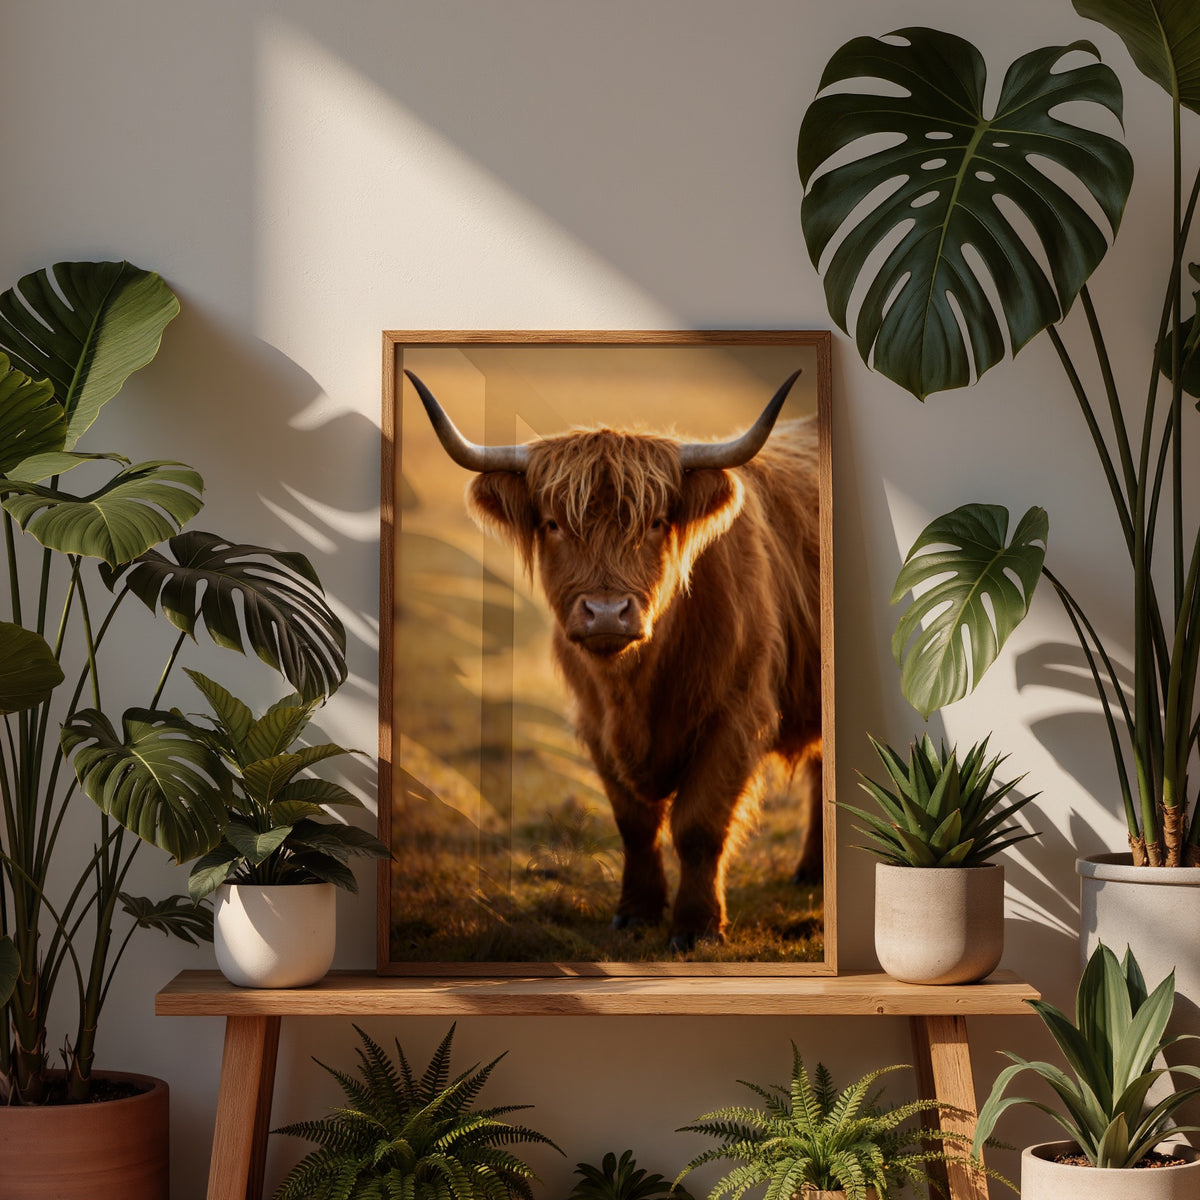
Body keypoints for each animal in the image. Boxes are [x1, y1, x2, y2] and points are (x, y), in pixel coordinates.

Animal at [407, 367, 822, 950]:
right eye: (554, 523)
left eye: (655, 522)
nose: (606, 612)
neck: (635, 688)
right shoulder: (594, 724)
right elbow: (635, 823)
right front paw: (637, 912)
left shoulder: (737, 716)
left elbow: (699, 826)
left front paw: (696, 927)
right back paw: (812, 870)